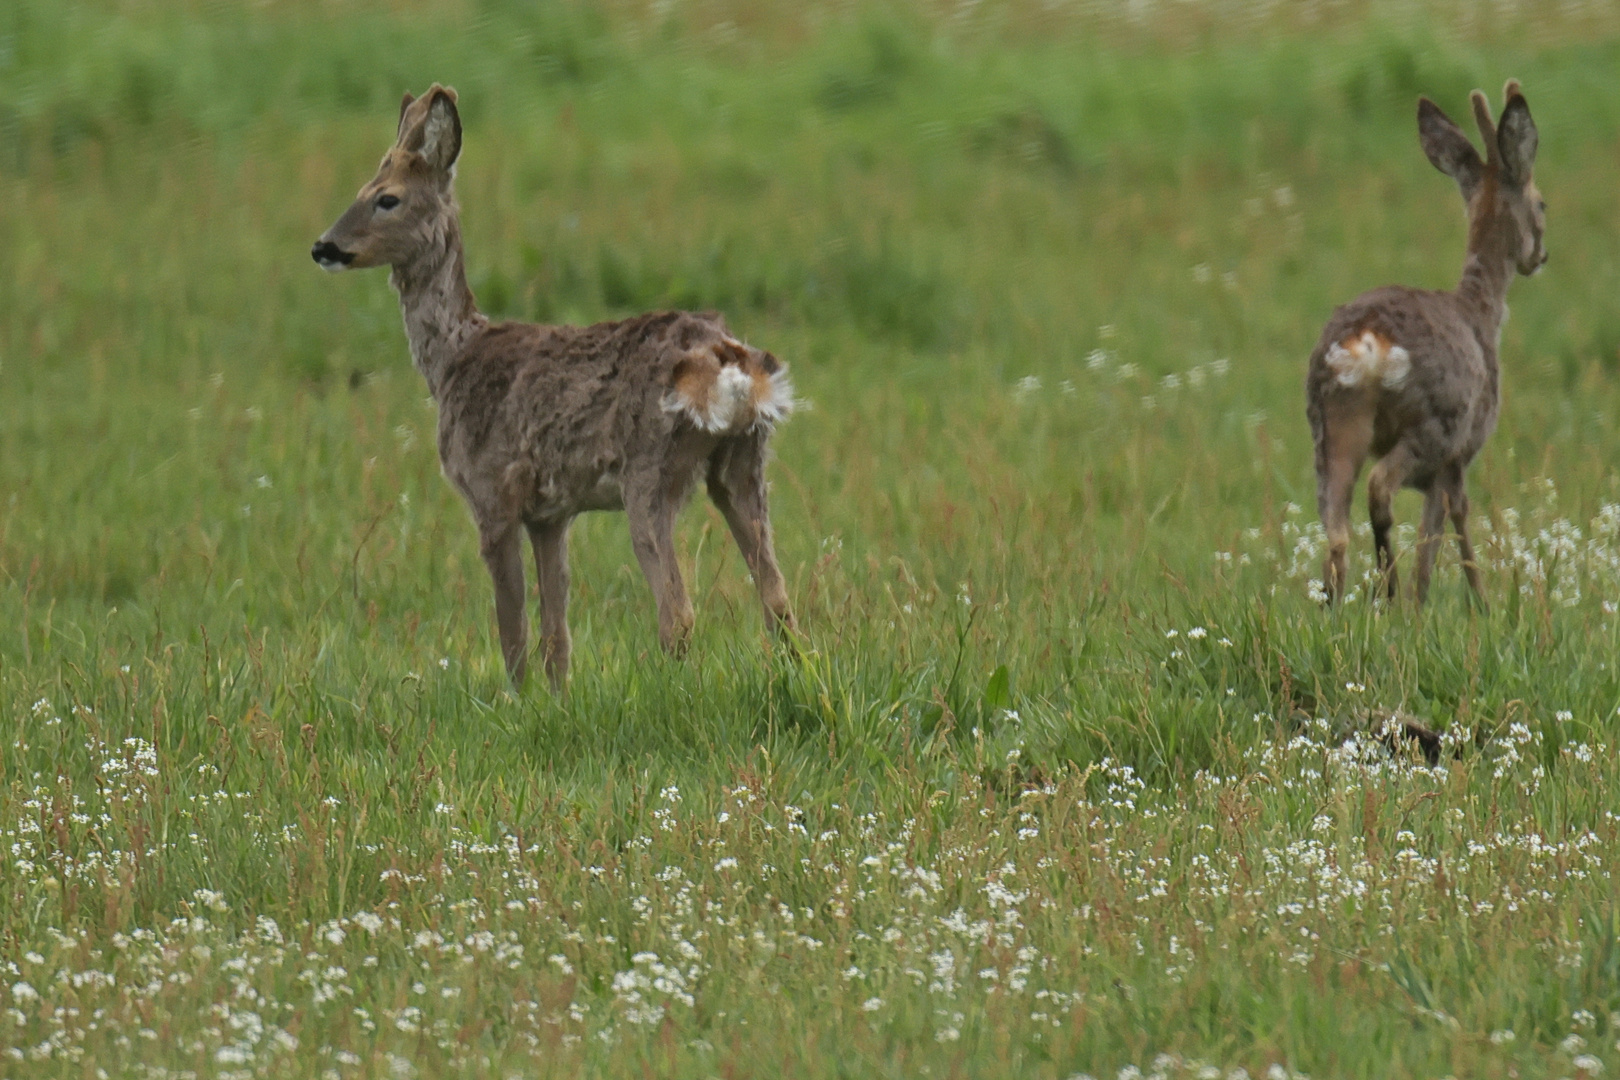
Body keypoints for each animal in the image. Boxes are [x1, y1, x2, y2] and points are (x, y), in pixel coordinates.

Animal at [309, 86, 797, 693]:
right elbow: (555, 637)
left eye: (387, 199)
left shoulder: (492, 492)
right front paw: (559, 700)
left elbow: (513, 629)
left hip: (649, 472)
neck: (451, 362)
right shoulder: (550, 514)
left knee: (678, 611)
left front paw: (515, 703)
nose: (323, 246)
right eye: (360, 190)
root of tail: (728, 361)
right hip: (743, 461)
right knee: (777, 598)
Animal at [1302, 82, 1542, 608]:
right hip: (1433, 423)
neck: (1480, 311)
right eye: (1542, 205)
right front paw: (1481, 604)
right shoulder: (1460, 452)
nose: (1540, 256)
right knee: (1380, 491)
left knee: (1335, 529)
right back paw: (1393, 593)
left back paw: (1340, 604)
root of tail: (1367, 340)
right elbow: (1452, 523)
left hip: (1330, 423)